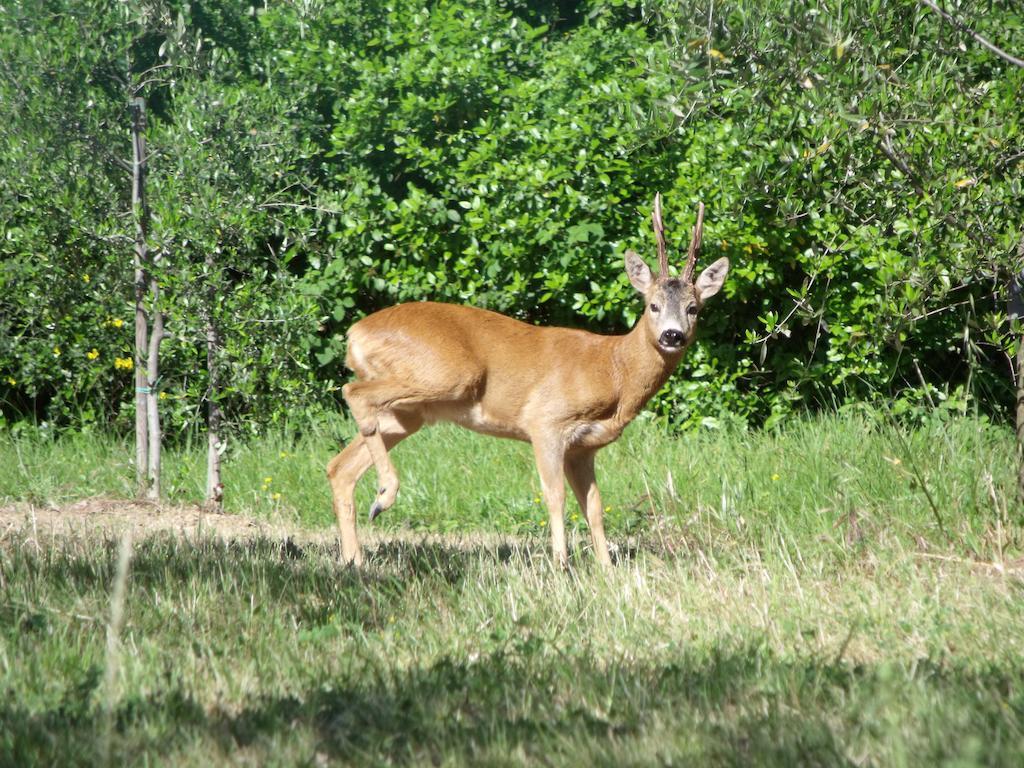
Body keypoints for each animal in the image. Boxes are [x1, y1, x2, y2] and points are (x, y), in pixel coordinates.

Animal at [327, 196, 729, 573]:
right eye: (653, 305)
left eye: (693, 308)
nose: (673, 335)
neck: (613, 369)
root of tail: (355, 333)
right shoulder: (546, 421)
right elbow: (555, 496)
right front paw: (561, 563)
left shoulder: (584, 448)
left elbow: (594, 505)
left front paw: (606, 567)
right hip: (448, 375)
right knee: (352, 393)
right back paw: (384, 497)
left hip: (409, 412)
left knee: (340, 465)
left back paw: (355, 558)